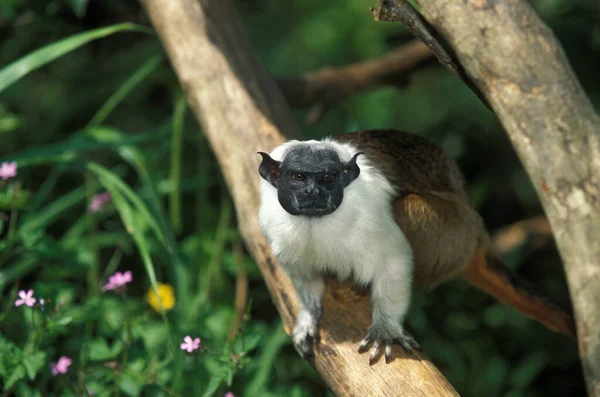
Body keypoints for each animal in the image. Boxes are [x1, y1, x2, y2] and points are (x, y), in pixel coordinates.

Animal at [255, 128, 576, 364]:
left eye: (327, 178)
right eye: (298, 177)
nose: (314, 193)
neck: (315, 222)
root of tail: (479, 236)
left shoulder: (369, 214)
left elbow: (394, 260)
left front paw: (386, 327)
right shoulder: (271, 224)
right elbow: (302, 273)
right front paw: (309, 315)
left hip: (456, 234)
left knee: (408, 207)